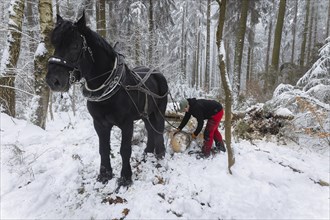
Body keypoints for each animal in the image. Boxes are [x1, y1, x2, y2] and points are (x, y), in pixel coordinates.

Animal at [46, 12, 168, 186]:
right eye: (54, 43)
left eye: (75, 45)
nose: (53, 80)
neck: (108, 88)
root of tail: (157, 72)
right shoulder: (99, 124)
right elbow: (103, 149)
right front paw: (104, 174)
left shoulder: (126, 123)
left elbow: (125, 150)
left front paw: (125, 177)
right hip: (146, 113)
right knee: (150, 129)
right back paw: (148, 152)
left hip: (159, 111)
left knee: (158, 129)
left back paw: (160, 154)